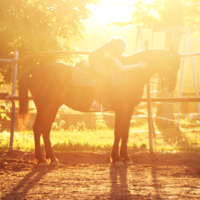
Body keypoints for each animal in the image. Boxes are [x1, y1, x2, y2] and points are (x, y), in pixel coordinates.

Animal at [18, 46, 180, 166]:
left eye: (177, 65)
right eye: (169, 64)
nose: (170, 87)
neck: (129, 74)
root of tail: (37, 69)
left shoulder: (129, 110)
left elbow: (125, 133)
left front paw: (126, 158)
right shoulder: (121, 108)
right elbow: (118, 133)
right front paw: (116, 159)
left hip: (53, 106)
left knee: (45, 130)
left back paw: (52, 159)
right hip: (44, 106)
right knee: (38, 128)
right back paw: (41, 160)